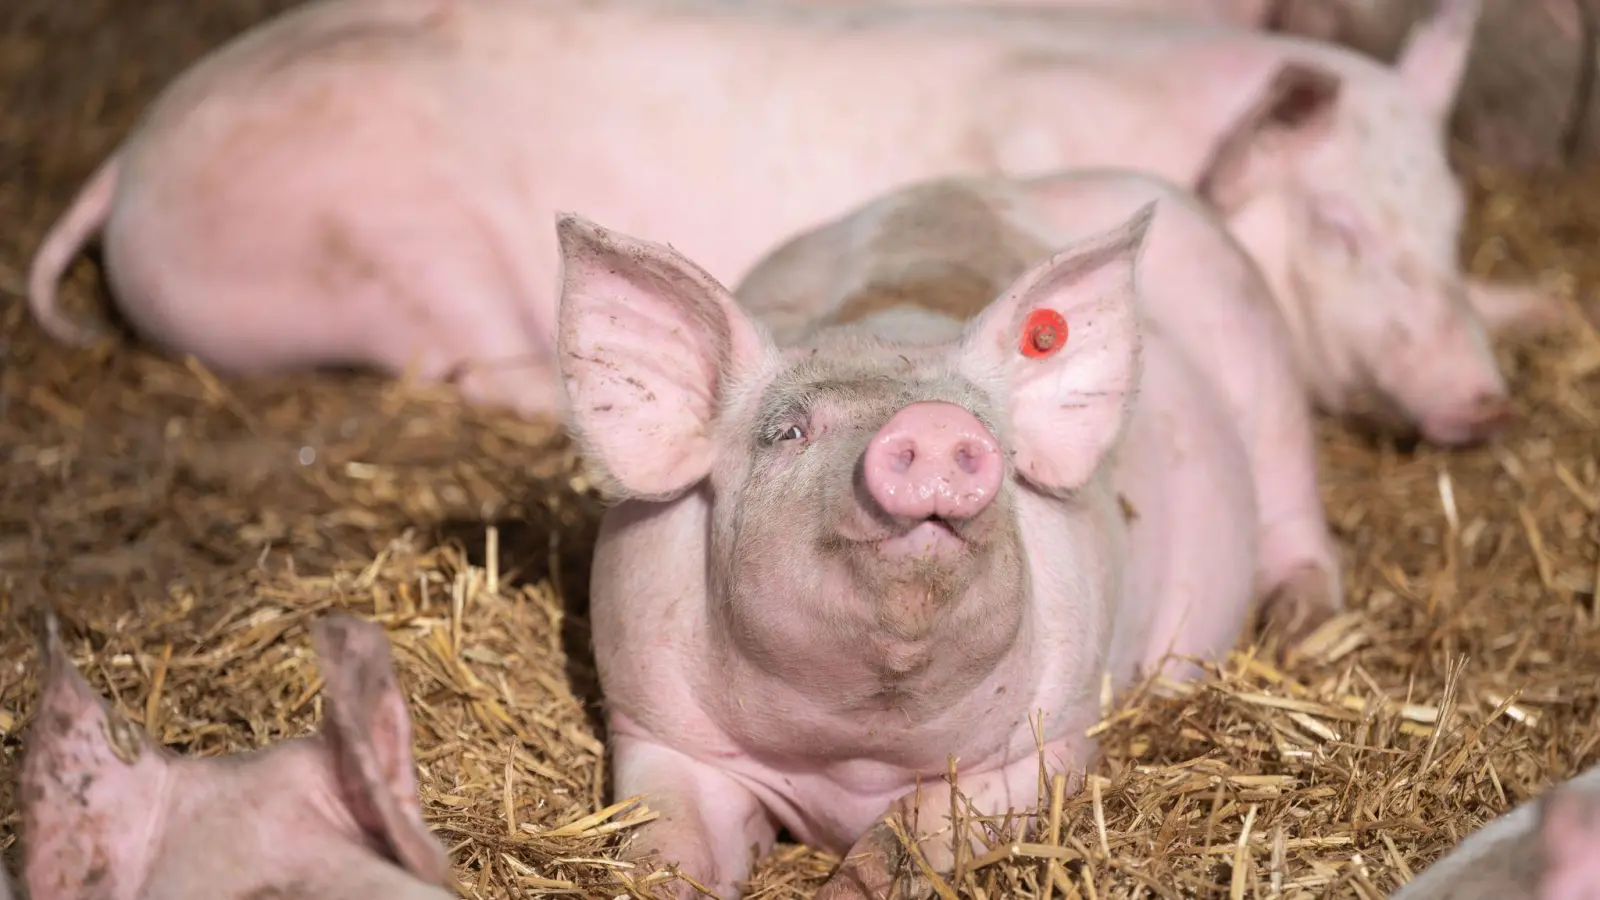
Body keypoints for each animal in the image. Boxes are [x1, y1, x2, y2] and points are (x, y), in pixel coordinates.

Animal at [21, 0, 1548, 448]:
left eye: (1452, 220)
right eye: (1338, 226)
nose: (1483, 399)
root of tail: (129, 160)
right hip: (394, 247)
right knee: (448, 362)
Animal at [556, 169, 1344, 896]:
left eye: (986, 427)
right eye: (788, 432)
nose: (935, 421)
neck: (857, 752)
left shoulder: (1046, 744)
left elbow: (911, 836)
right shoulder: (656, 727)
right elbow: (665, 847)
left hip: (1266, 367)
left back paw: (1299, 624)